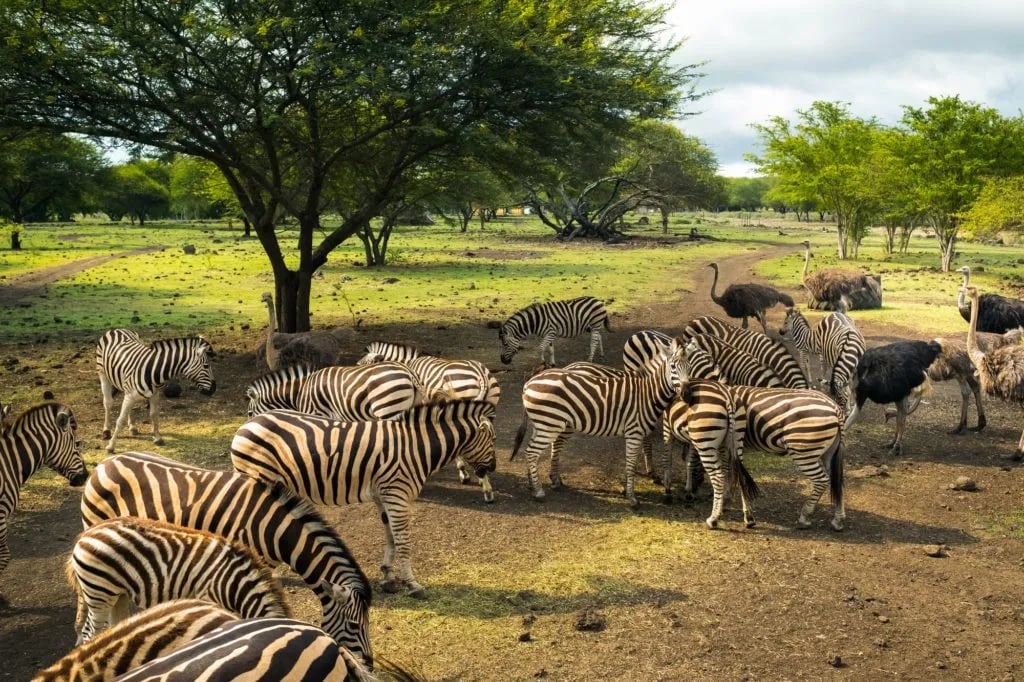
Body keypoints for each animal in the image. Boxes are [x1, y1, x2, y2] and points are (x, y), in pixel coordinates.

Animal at [68, 517, 289, 644]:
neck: (234, 582)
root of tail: (86, 533)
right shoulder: (208, 597)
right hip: (99, 591)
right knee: (89, 633)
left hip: (117, 593)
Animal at [231, 400, 498, 597]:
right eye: (493, 440)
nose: (492, 468)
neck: (416, 447)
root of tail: (247, 424)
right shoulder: (397, 494)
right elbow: (403, 541)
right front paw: (412, 584)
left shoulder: (385, 496)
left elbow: (390, 536)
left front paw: (388, 577)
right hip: (260, 476)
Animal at [510, 339, 683, 507]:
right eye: (673, 367)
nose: (686, 393)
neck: (648, 390)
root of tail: (528, 384)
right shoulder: (638, 427)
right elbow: (640, 453)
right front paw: (644, 483)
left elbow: (632, 458)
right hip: (555, 423)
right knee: (537, 449)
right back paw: (540, 490)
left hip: (545, 422)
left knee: (539, 446)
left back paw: (537, 482)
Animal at [662, 380, 759, 529]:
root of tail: (728, 398)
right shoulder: (694, 439)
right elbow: (690, 461)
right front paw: (689, 490)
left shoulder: (667, 427)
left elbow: (668, 460)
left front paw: (668, 491)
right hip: (737, 439)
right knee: (739, 474)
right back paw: (748, 518)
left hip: (706, 443)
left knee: (718, 477)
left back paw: (713, 519)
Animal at [685, 385, 846, 531]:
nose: (694, 491)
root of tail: (834, 406)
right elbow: (730, 470)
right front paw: (726, 499)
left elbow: (715, 468)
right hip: (829, 453)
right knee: (837, 481)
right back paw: (838, 520)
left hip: (803, 451)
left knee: (822, 480)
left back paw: (804, 517)